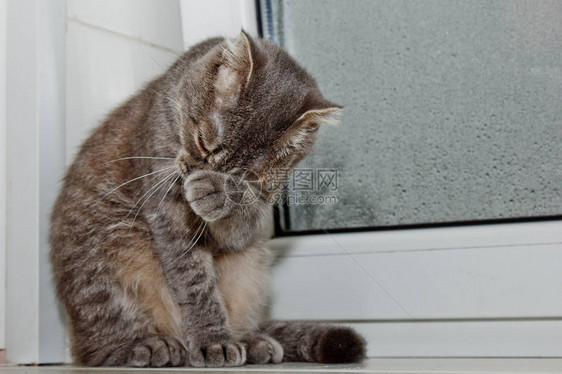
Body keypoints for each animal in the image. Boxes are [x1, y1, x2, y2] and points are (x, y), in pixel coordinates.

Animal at [50, 30, 366, 366]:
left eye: (242, 176)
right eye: (203, 143)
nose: (196, 175)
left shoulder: (253, 216)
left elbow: (236, 221)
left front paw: (218, 195)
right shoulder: (168, 211)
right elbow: (196, 285)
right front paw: (213, 341)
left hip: (252, 264)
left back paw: (253, 341)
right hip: (110, 258)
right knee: (99, 348)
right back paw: (149, 345)